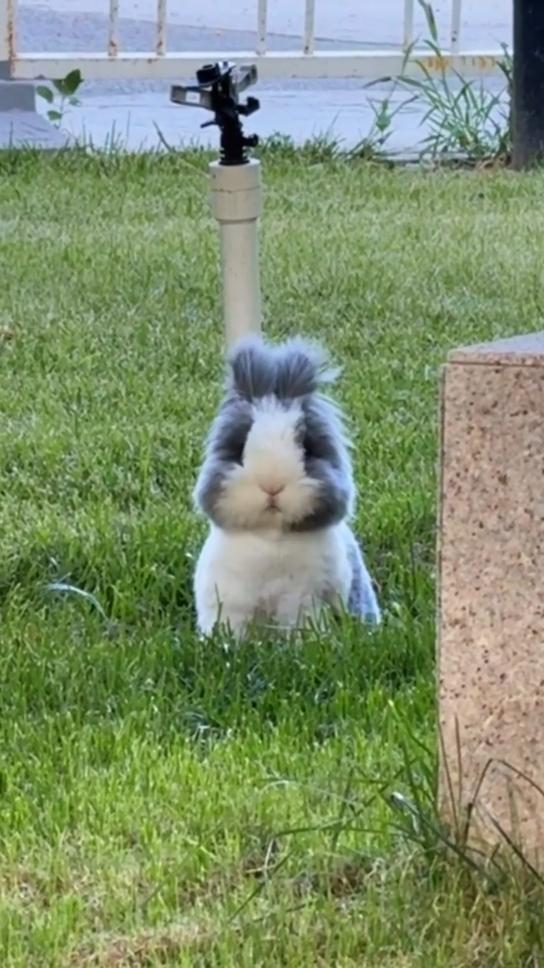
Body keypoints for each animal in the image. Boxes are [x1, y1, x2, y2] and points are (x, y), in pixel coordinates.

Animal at [193, 336, 380, 640]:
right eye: (239, 448)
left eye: (307, 448)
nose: (272, 486)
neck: (271, 538)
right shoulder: (229, 603)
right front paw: (225, 645)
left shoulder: (302, 602)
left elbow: (301, 626)